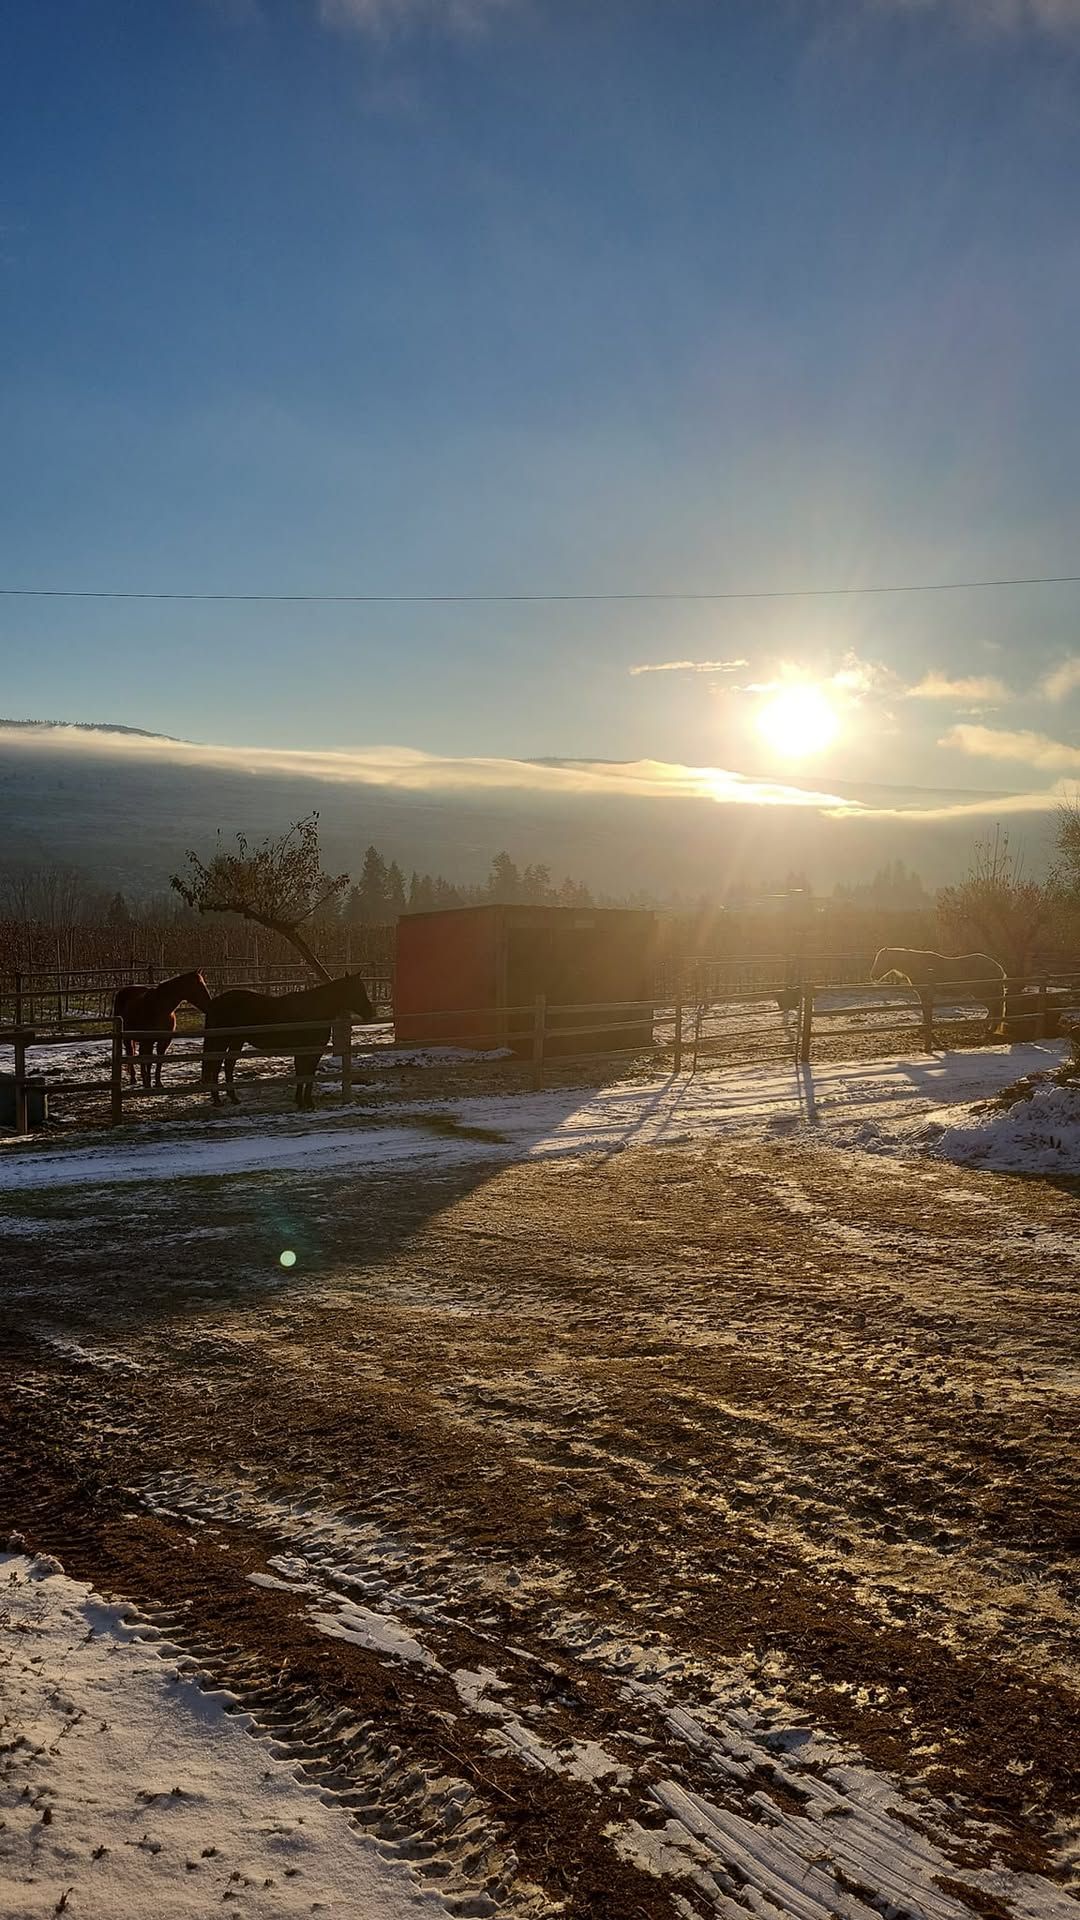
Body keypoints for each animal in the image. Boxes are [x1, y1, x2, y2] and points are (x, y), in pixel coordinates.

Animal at [201, 975, 374, 1113]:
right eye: (356, 990)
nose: (370, 1012)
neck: (314, 1009)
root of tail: (214, 1002)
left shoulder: (311, 1050)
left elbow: (306, 1074)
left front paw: (304, 1101)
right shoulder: (306, 1050)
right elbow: (303, 1074)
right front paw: (305, 1102)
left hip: (236, 1040)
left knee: (227, 1065)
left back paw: (233, 1098)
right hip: (221, 1040)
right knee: (215, 1065)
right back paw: (218, 1100)